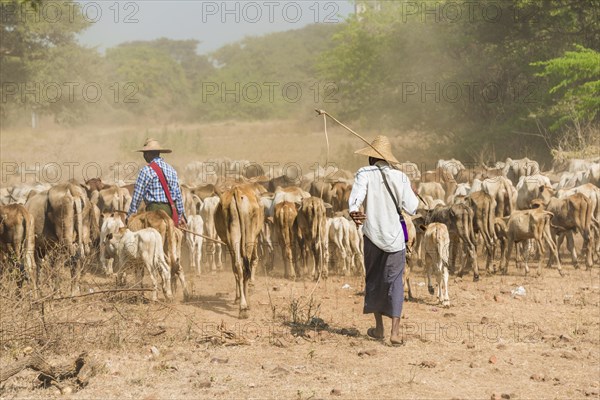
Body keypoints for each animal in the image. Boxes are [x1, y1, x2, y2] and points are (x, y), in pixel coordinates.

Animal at [214, 184, 264, 318]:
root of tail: (237, 191)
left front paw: (238, 298)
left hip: (233, 234)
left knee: (238, 266)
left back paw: (242, 306)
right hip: (249, 236)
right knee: (245, 268)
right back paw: (245, 305)